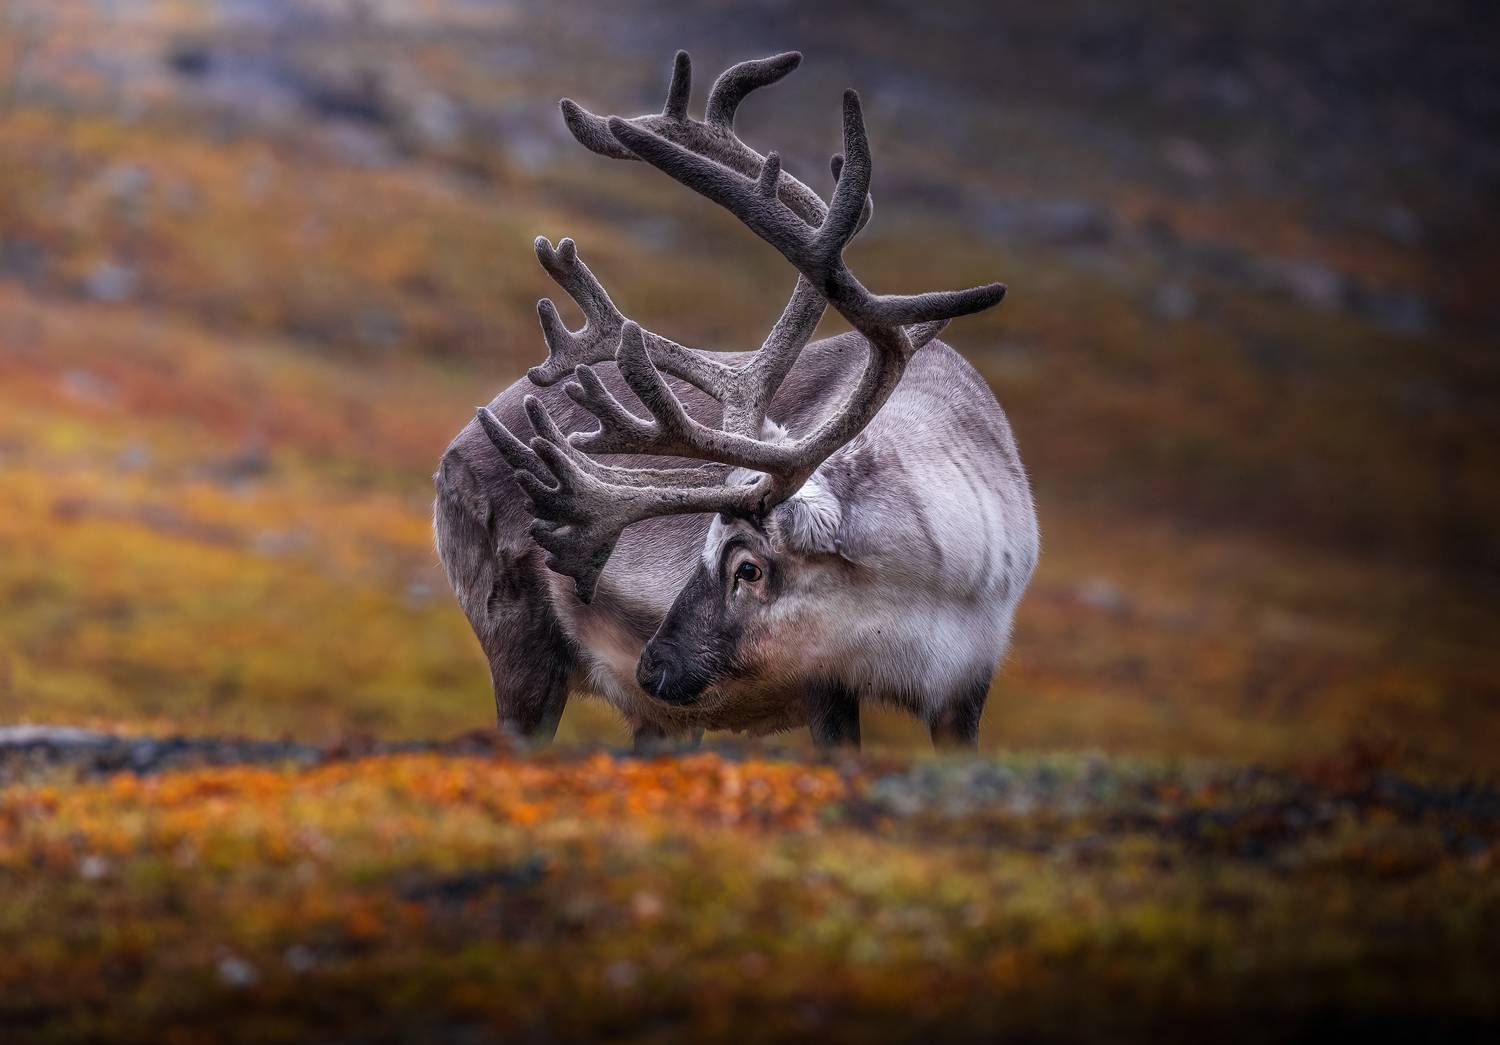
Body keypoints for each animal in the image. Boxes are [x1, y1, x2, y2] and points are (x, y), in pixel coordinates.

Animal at [433, 51, 1038, 751]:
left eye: (747, 567)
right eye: (703, 547)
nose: (652, 669)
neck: (931, 584)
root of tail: (454, 448)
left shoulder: (966, 688)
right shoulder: (825, 681)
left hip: (665, 723)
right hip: (522, 653)